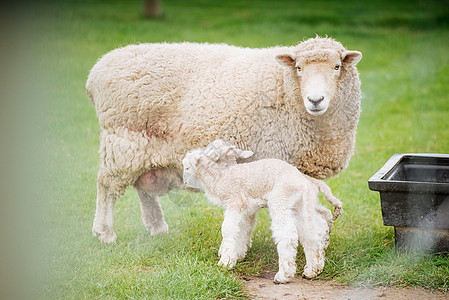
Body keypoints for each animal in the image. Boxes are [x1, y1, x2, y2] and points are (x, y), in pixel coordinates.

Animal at [86, 37, 360, 244]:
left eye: (337, 67)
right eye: (299, 68)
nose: (315, 100)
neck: (283, 86)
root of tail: (96, 71)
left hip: (143, 144)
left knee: (143, 185)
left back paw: (157, 226)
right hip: (123, 140)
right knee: (107, 185)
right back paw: (105, 232)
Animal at [180, 139, 342, 282]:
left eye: (187, 168)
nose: (185, 182)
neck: (221, 176)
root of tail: (303, 181)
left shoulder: (235, 201)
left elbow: (228, 229)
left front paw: (225, 262)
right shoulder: (246, 210)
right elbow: (243, 230)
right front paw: (238, 254)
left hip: (280, 200)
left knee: (288, 235)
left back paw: (284, 275)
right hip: (301, 205)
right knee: (312, 233)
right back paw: (312, 270)